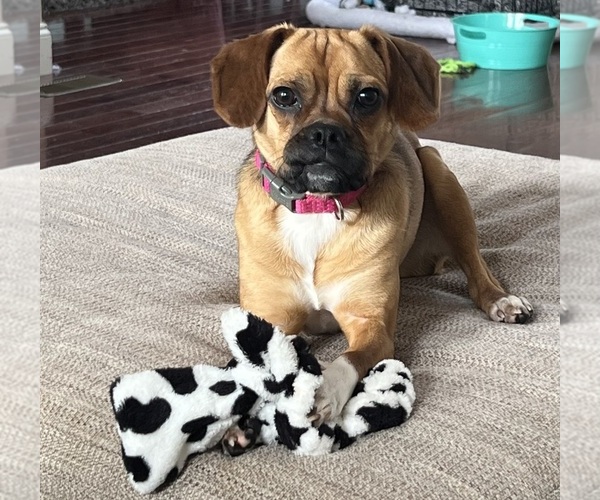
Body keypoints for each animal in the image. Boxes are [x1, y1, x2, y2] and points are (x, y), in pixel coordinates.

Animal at [210, 23, 528, 448]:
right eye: (284, 96)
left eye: (367, 97)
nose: (325, 134)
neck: (319, 208)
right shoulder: (267, 322)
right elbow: (243, 368)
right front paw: (237, 413)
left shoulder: (372, 328)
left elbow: (347, 360)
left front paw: (321, 393)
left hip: (439, 173)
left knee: (477, 267)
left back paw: (500, 299)